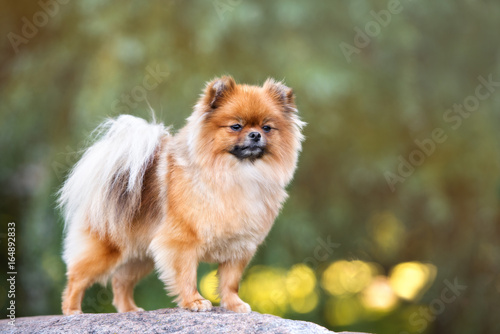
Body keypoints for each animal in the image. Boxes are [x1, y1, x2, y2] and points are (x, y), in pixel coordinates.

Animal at [58, 75, 304, 316]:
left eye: (267, 127)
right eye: (236, 126)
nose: (255, 135)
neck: (235, 174)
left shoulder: (239, 247)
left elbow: (230, 282)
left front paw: (234, 304)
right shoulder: (182, 243)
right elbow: (186, 275)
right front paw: (194, 301)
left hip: (139, 258)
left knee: (120, 283)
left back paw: (130, 310)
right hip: (106, 251)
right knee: (77, 279)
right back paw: (73, 311)